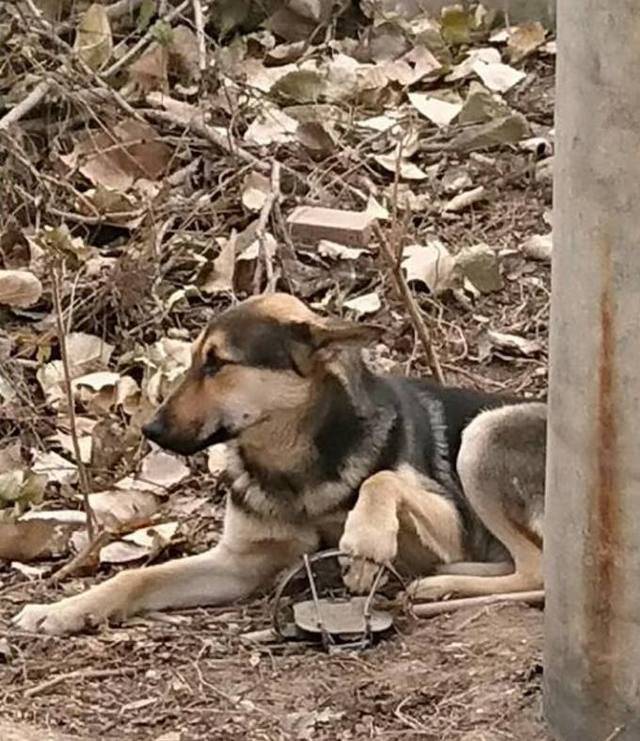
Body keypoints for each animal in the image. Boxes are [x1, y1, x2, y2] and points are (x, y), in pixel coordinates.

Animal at [13, 292, 544, 632]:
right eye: (194, 361)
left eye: (217, 363)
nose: (152, 430)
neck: (291, 467)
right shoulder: (238, 564)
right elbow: (138, 575)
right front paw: (64, 609)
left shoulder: (449, 521)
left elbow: (382, 480)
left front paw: (365, 540)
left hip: (483, 434)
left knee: (536, 572)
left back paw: (444, 583)